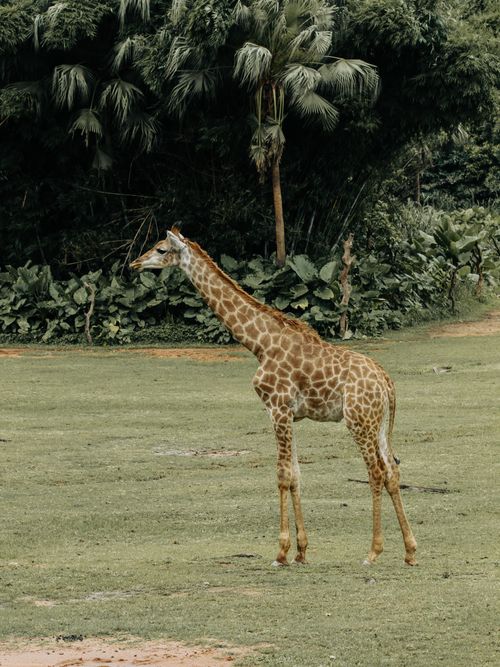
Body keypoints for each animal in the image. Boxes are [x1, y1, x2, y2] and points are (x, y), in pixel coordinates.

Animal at [130, 228, 417, 567]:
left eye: (161, 249)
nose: (135, 263)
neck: (260, 344)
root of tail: (387, 383)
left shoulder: (277, 408)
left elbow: (282, 474)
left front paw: (281, 552)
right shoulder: (289, 415)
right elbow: (296, 474)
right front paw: (301, 551)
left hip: (358, 422)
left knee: (375, 472)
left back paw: (373, 551)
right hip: (379, 424)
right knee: (393, 471)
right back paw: (410, 551)